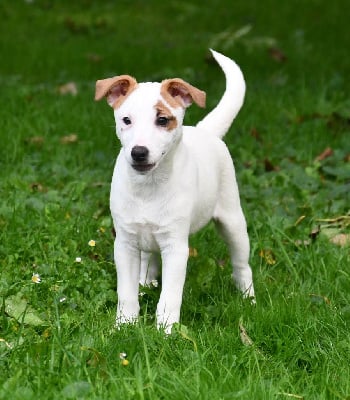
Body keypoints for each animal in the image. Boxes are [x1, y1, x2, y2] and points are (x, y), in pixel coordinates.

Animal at [95, 48, 254, 332]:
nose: (138, 152)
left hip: (232, 220)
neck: (149, 187)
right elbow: (125, 292)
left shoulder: (176, 247)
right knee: (148, 259)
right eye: (126, 120)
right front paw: (125, 324)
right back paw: (145, 283)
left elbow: (170, 296)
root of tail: (205, 131)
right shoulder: (124, 244)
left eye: (162, 120)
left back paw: (248, 297)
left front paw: (166, 331)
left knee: (241, 263)